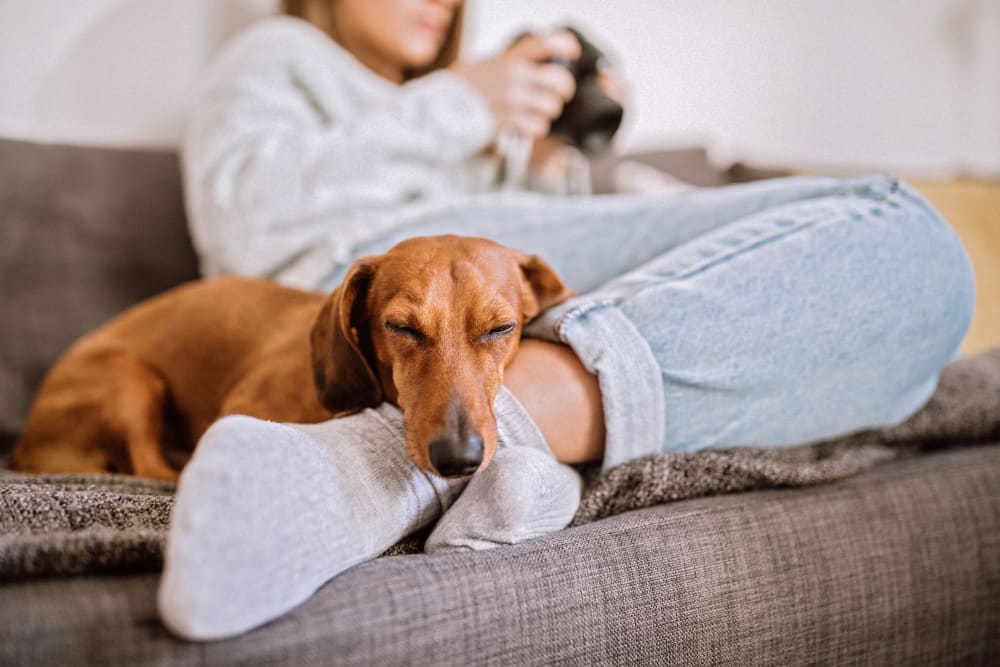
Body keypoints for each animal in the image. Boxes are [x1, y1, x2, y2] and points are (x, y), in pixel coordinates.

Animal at [11, 235, 572, 480]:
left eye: (501, 329)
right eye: (401, 328)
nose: (459, 459)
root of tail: (25, 446)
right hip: (130, 381)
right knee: (150, 468)